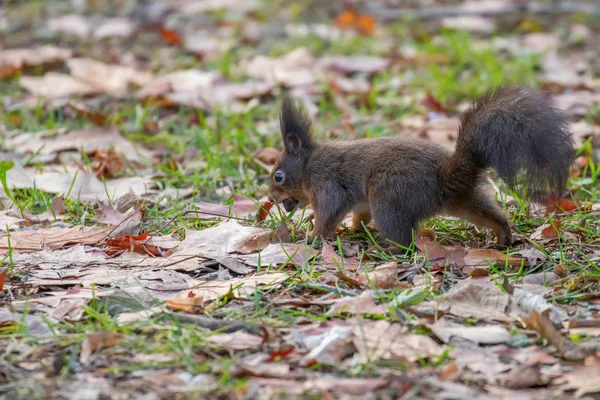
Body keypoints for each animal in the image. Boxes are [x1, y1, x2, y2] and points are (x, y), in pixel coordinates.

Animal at [266, 86, 572, 248]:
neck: (308, 165)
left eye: (278, 176)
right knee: (491, 214)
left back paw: (389, 246)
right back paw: (502, 238)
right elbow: (359, 215)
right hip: (464, 199)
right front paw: (353, 229)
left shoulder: (326, 184)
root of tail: (446, 178)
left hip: (388, 197)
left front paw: (311, 235)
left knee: (403, 238)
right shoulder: (359, 203)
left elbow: (329, 213)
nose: (270, 198)